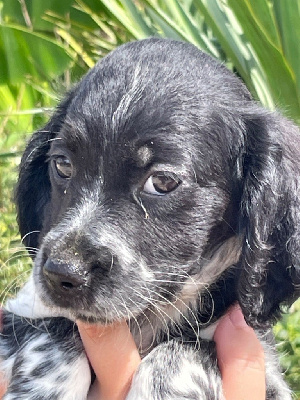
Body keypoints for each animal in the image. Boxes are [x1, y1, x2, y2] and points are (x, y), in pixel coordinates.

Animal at [0, 38, 300, 400]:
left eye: (163, 182)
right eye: (62, 164)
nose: (62, 273)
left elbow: (187, 348)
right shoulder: (22, 312)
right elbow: (55, 325)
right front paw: (43, 388)